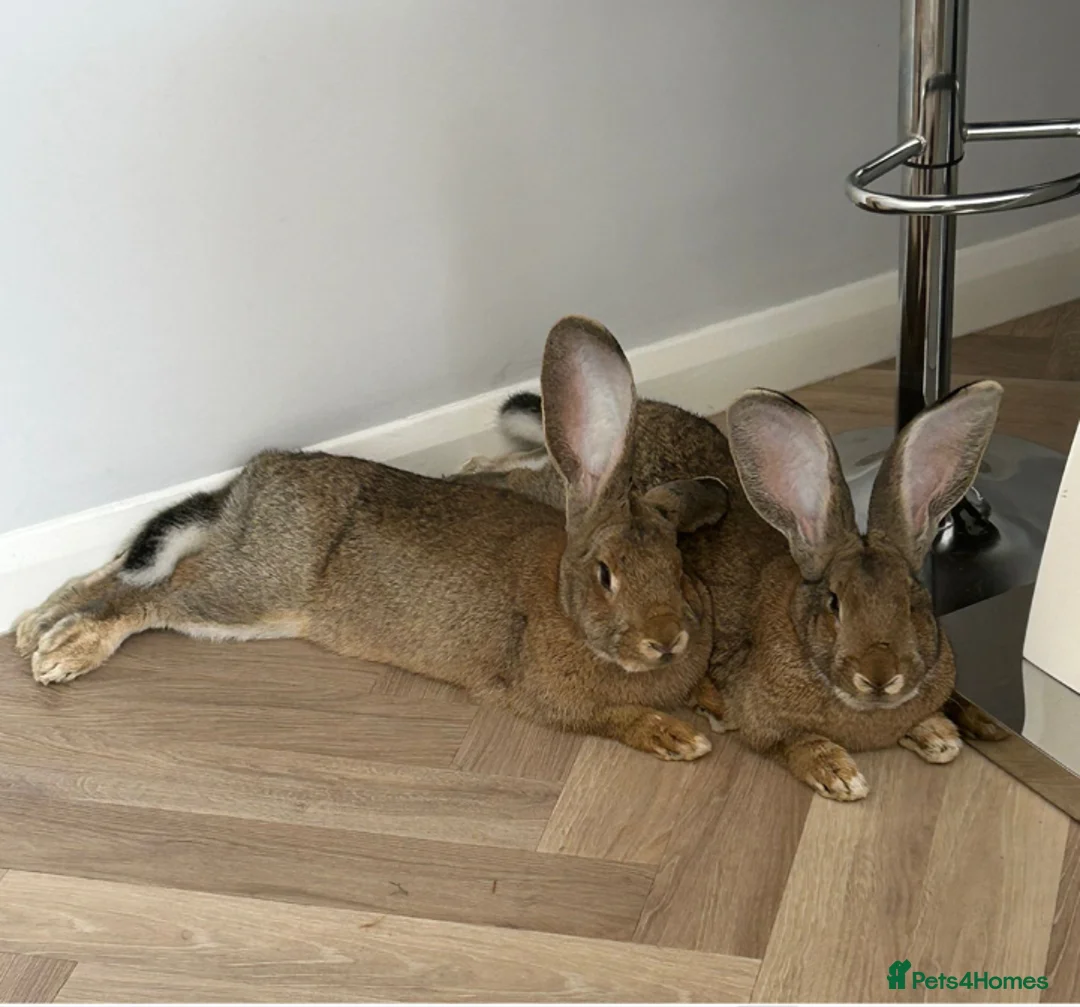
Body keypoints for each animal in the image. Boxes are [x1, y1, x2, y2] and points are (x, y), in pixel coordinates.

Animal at [10, 317, 731, 761]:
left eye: (679, 566)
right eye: (606, 574)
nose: (668, 641)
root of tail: (255, 477)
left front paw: (713, 701)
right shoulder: (539, 695)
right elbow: (604, 718)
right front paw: (679, 737)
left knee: (130, 566)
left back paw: (33, 626)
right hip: (255, 594)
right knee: (153, 597)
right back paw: (63, 650)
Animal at [457, 377, 1005, 799]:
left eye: (914, 603)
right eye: (835, 603)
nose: (879, 676)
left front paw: (939, 734)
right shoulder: (762, 718)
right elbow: (789, 742)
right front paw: (838, 774)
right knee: (511, 471)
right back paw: (469, 468)